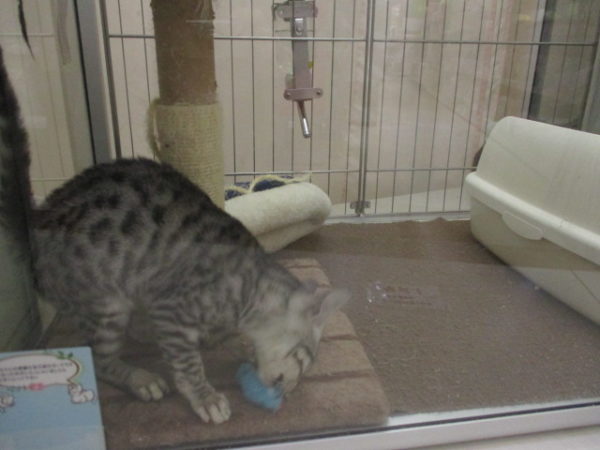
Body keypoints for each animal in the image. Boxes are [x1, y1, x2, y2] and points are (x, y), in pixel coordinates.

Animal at [0, 46, 348, 424]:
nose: (288, 392)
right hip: (105, 302)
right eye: (303, 359)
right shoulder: (173, 309)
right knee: (101, 358)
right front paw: (204, 395)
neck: (248, 289)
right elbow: (187, 362)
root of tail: (39, 217)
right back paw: (140, 378)